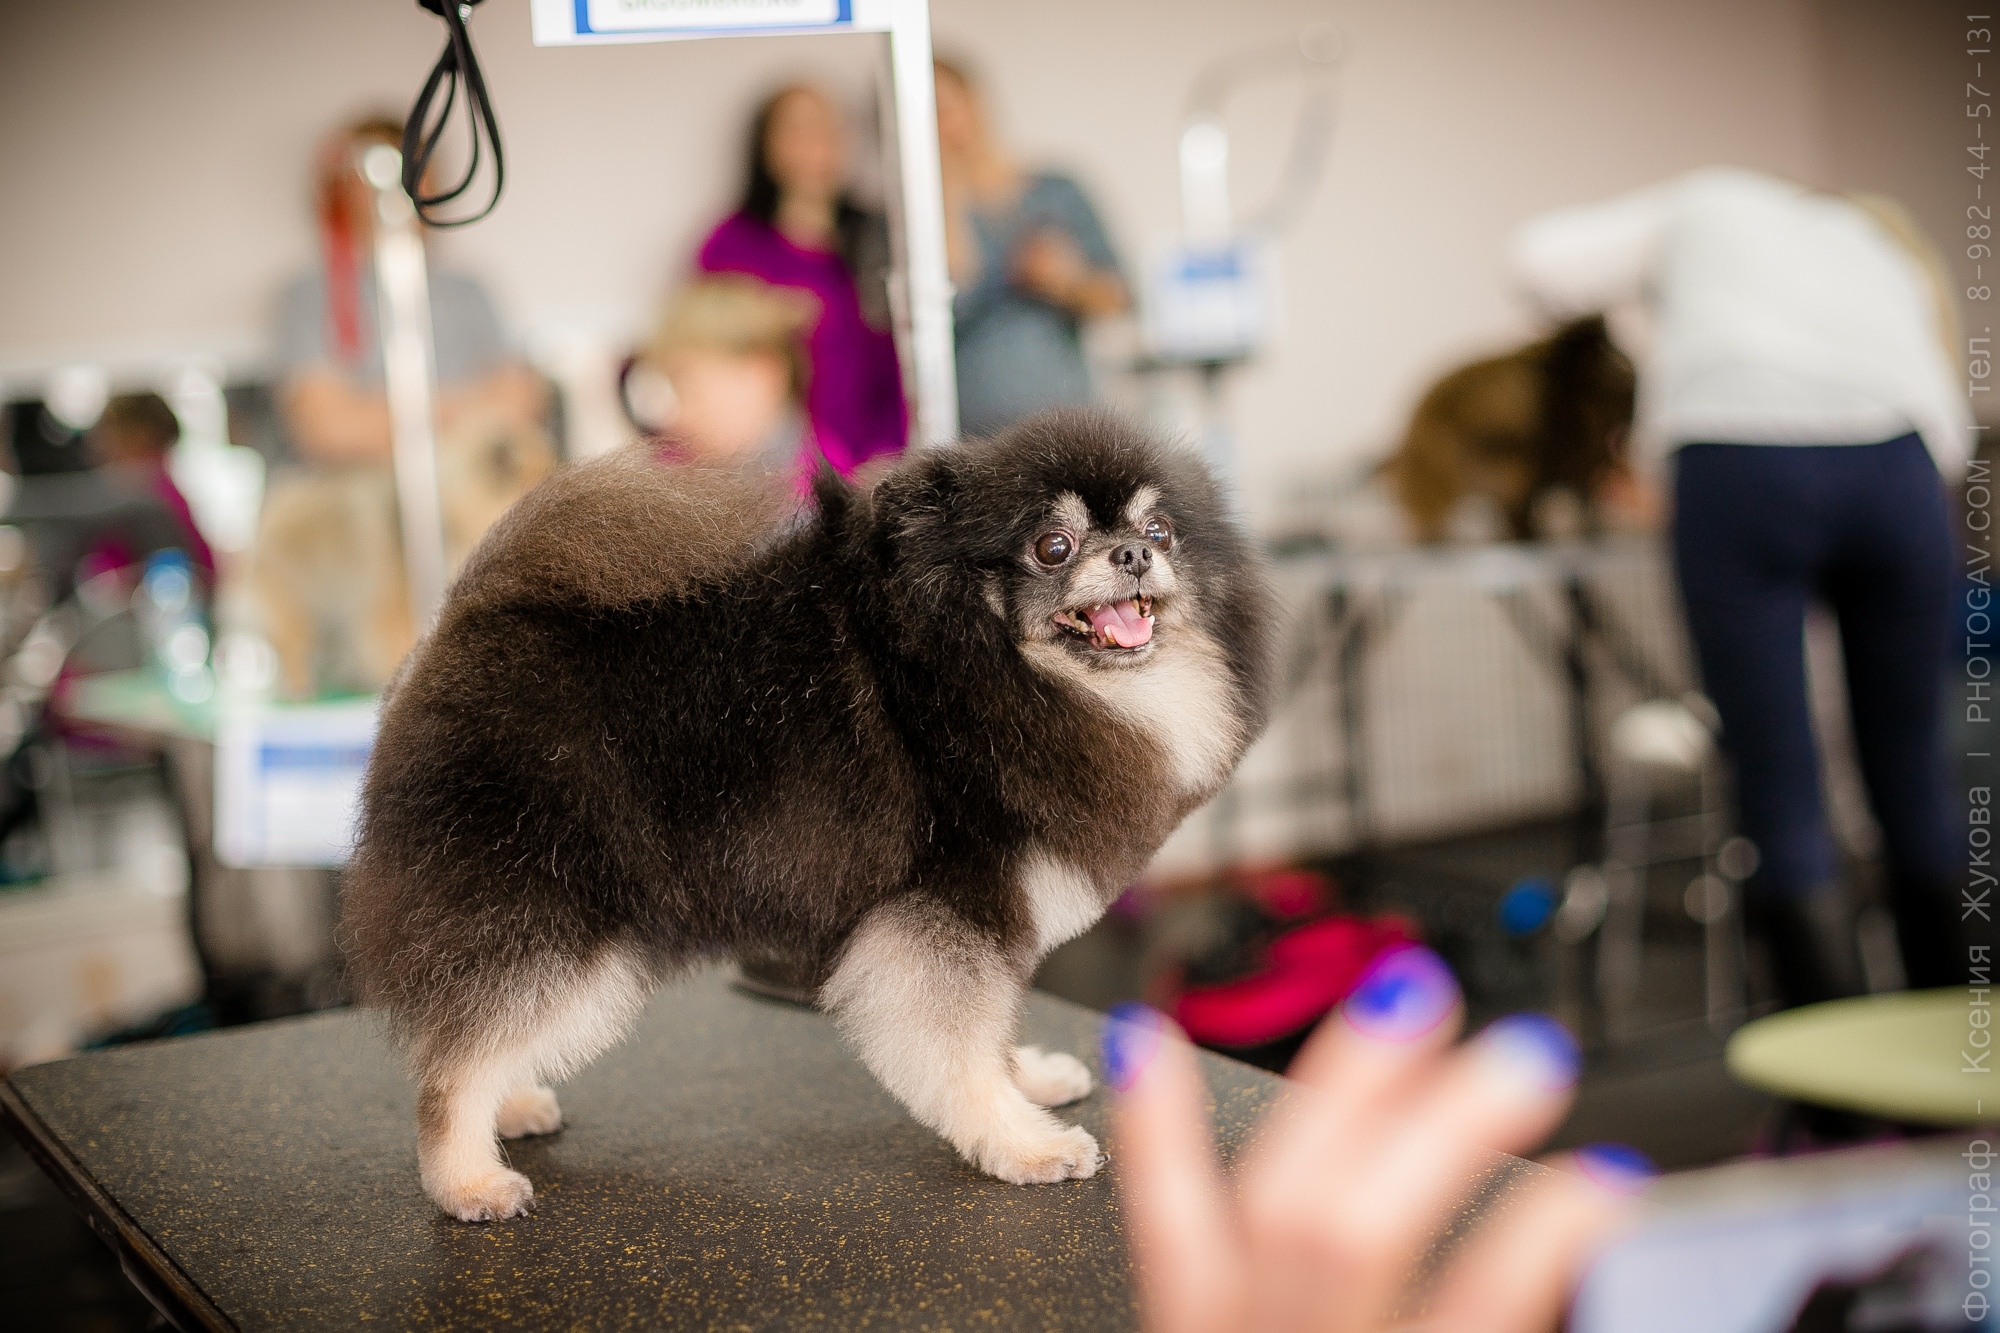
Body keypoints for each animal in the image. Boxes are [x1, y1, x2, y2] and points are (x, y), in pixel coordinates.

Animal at [344, 408, 1272, 1216]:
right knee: (455, 1058)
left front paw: (1030, 1078)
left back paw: (511, 1107)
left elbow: (993, 1030)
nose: (1131, 554)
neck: (978, 671)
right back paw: (467, 1177)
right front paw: (1026, 1142)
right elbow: (960, 1050)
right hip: (554, 915)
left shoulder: (985, 916)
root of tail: (459, 624)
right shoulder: (940, 909)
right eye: (1053, 546)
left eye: (1161, 531)